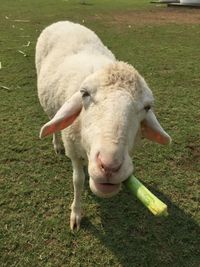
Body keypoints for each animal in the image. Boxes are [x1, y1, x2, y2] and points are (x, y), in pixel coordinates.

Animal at [35, 20, 170, 230]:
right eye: (85, 94)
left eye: (147, 107)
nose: (109, 166)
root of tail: (65, 22)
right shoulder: (73, 149)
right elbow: (78, 180)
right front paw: (76, 214)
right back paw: (57, 145)